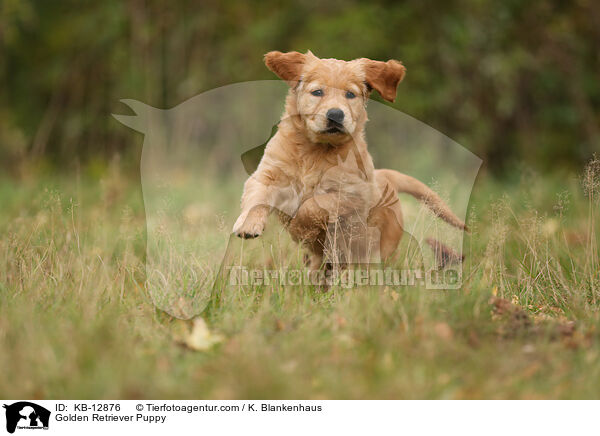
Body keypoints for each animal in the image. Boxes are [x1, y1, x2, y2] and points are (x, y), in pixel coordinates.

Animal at [233, 50, 464, 270]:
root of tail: (385, 177)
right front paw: (247, 225)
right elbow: (257, 197)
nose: (335, 114)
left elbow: (313, 204)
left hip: (380, 248)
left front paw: (299, 227)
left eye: (350, 94)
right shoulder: (268, 174)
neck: (316, 151)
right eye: (317, 92)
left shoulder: (352, 194)